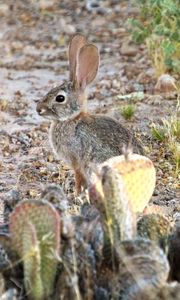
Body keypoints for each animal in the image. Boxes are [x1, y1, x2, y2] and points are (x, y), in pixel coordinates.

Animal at [36, 34, 143, 193]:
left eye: (60, 98)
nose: (38, 109)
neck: (71, 119)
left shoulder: (76, 160)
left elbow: (78, 176)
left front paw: (76, 193)